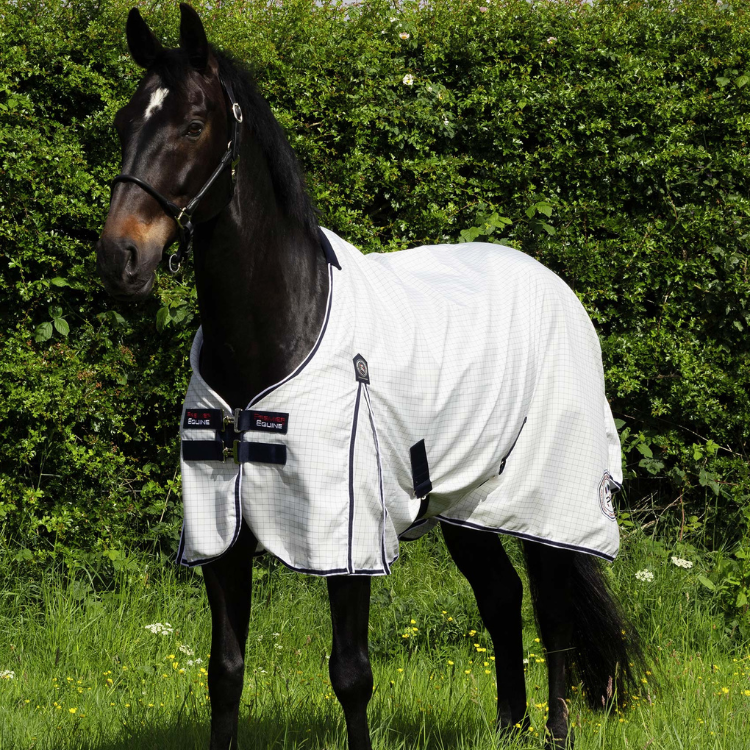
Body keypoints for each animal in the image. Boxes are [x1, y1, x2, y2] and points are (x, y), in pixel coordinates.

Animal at [97, 5, 645, 749]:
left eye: (193, 124)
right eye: (125, 122)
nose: (120, 257)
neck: (280, 328)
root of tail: (555, 286)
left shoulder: (345, 533)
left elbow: (351, 673)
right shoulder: (220, 530)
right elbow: (225, 670)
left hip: (544, 499)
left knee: (552, 607)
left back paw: (555, 731)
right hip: (466, 502)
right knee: (501, 596)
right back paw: (509, 723)